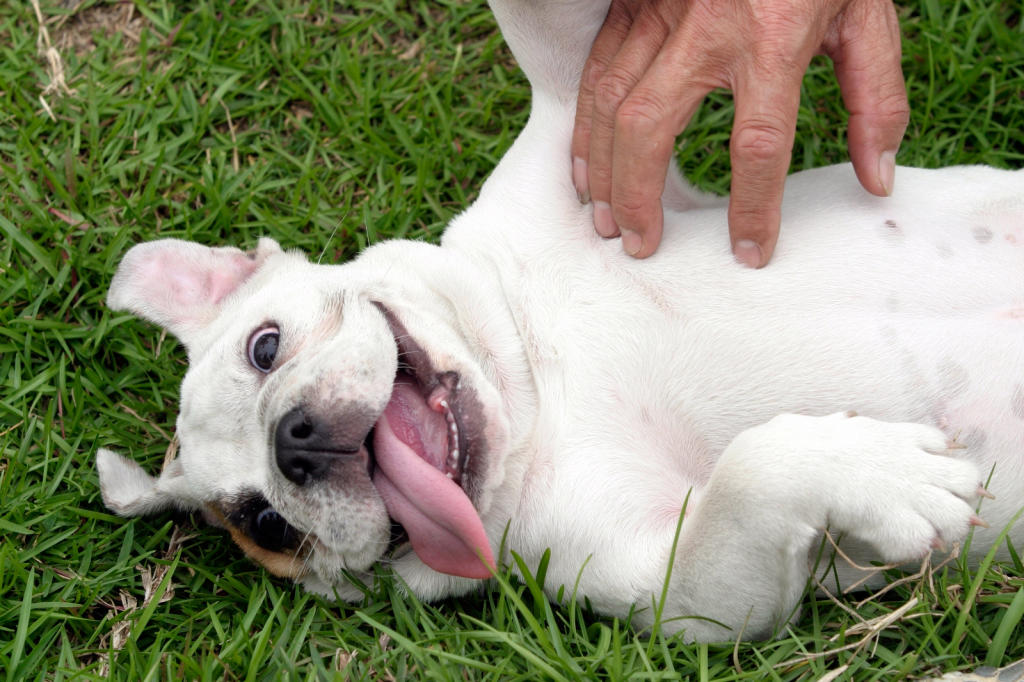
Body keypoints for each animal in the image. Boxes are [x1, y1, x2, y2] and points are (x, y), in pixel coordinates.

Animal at [96, 0, 1024, 638]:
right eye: (269, 528)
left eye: (265, 347)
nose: (296, 441)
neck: (533, 384)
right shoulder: (673, 582)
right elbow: (745, 481)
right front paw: (875, 470)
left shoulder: (575, 115)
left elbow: (543, 26)